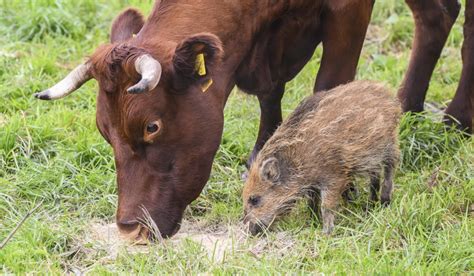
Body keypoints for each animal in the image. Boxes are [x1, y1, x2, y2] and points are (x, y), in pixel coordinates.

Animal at [34, 0, 374, 238]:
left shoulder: (348, 14)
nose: (130, 229)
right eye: (105, 132)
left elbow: (330, 88)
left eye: (151, 126)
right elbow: (270, 95)